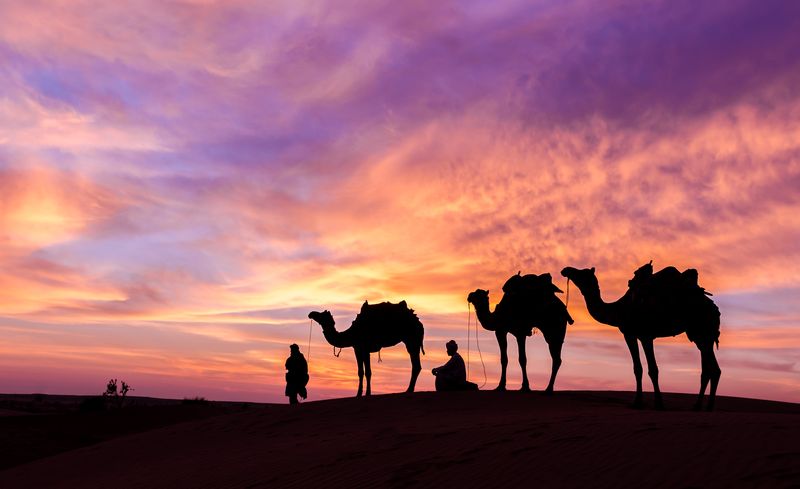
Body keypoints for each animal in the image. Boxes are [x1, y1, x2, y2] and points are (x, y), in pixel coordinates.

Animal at [560, 264, 720, 410]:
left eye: (582, 272)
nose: (566, 270)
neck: (618, 310)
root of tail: (713, 307)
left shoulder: (645, 336)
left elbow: (653, 369)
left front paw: (658, 403)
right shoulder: (630, 334)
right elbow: (637, 369)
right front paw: (637, 402)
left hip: (702, 330)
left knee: (712, 368)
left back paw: (707, 405)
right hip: (699, 335)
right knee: (710, 368)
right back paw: (700, 405)